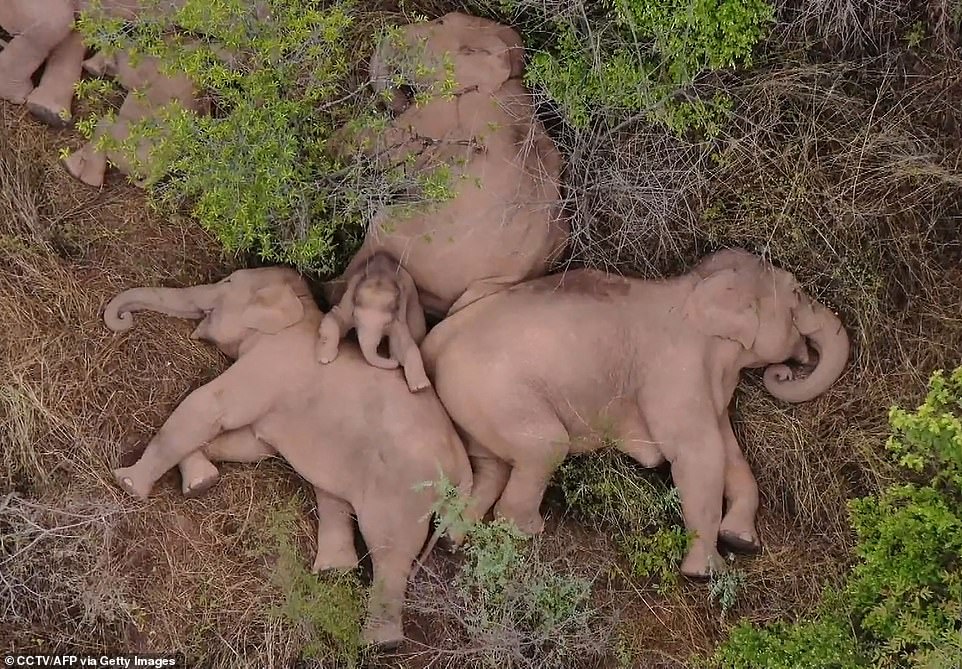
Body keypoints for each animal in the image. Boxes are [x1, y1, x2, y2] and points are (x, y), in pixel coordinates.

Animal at [316, 253, 430, 394]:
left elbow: (405, 342)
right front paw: (324, 359)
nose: (395, 362)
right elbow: (333, 318)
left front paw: (421, 386)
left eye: (387, 323)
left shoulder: (399, 317)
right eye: (356, 317)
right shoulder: (347, 302)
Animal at [420, 248, 848, 576]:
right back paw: (527, 531)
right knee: (545, 448)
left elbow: (730, 453)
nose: (786, 371)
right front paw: (706, 574)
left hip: (473, 405)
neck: (695, 286)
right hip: (495, 392)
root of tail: (436, 339)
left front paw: (741, 541)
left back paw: (453, 541)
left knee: (490, 467)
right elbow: (698, 453)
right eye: (798, 292)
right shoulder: (674, 371)